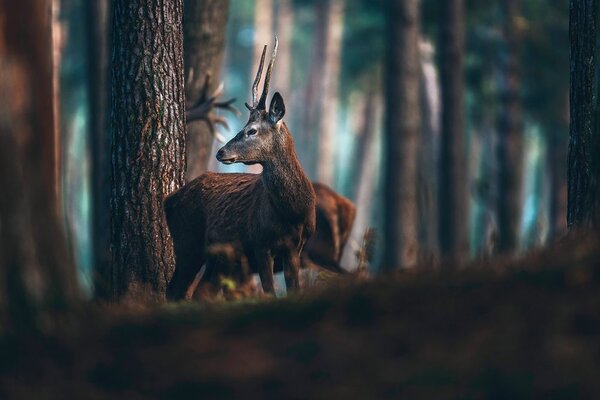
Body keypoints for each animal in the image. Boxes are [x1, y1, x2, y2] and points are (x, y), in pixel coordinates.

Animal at [164, 38, 314, 300]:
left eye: (252, 130)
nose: (221, 152)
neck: (292, 212)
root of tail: (168, 200)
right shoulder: (260, 243)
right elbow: (268, 292)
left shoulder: (296, 248)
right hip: (188, 242)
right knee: (175, 289)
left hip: (219, 259)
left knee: (200, 291)